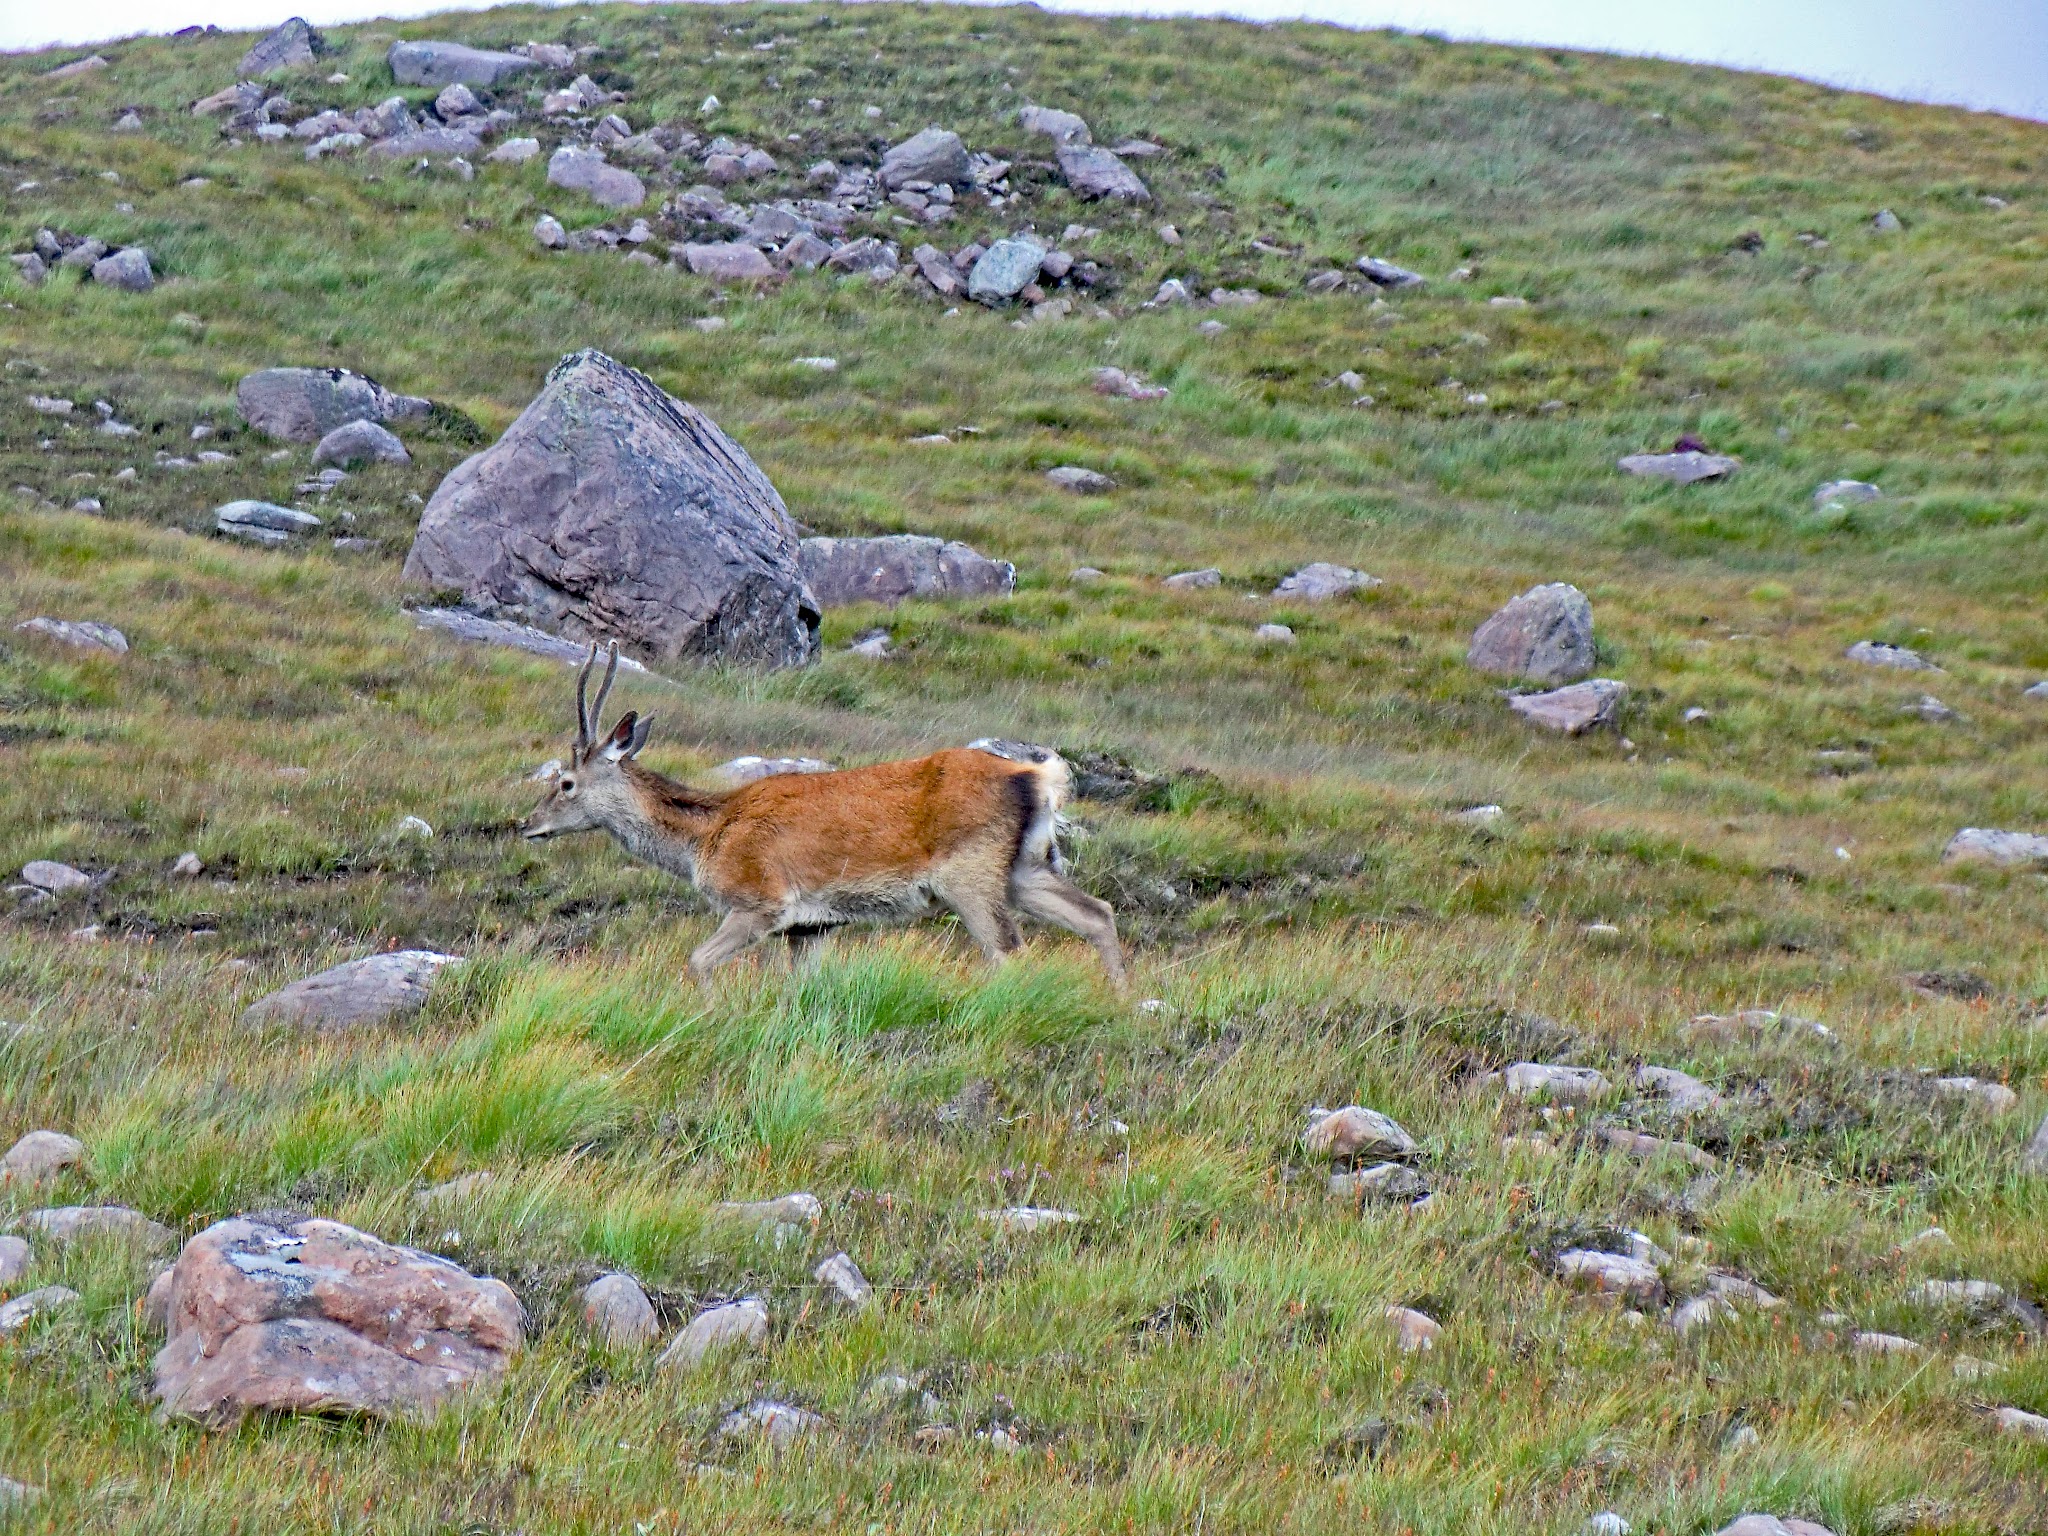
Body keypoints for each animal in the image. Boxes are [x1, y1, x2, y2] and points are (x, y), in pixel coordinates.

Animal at [521, 644, 1126, 987]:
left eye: (565, 782)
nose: (527, 824)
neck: (705, 839)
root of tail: (1039, 778)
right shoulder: (812, 925)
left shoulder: (761, 901)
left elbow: (698, 961)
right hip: (1027, 865)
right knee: (1097, 912)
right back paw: (1121, 1002)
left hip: (970, 871)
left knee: (1010, 951)